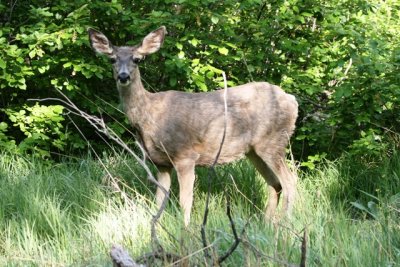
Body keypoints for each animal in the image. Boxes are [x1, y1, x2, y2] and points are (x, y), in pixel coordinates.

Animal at [89, 25, 298, 227]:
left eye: (137, 59)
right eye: (112, 60)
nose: (123, 76)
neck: (150, 116)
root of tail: (292, 100)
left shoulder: (185, 156)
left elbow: (185, 201)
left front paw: (186, 231)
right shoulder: (161, 163)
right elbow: (160, 200)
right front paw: (159, 230)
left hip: (273, 141)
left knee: (290, 182)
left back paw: (285, 226)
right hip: (254, 150)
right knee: (275, 184)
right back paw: (267, 225)